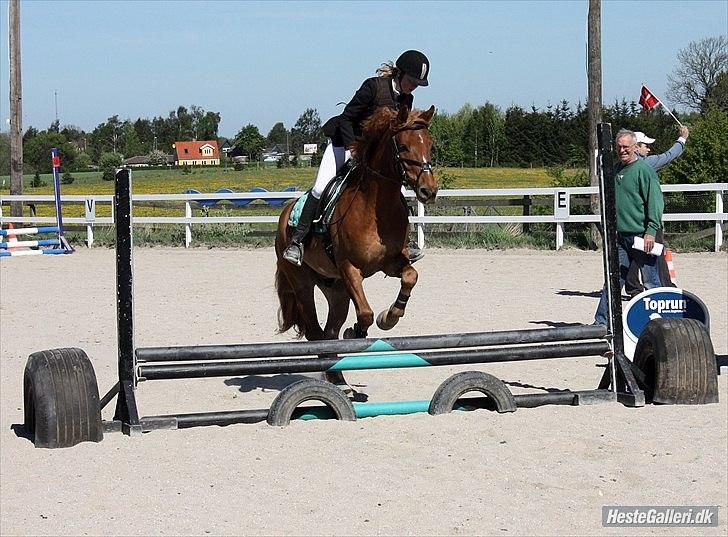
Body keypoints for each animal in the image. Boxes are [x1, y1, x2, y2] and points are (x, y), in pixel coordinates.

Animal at [276, 103, 438, 356]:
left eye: (429, 144)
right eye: (403, 146)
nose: (428, 190)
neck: (376, 210)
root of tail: (285, 213)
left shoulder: (390, 262)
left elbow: (411, 276)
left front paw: (389, 317)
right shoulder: (349, 268)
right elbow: (365, 313)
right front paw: (357, 332)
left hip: (335, 287)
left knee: (329, 333)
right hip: (301, 283)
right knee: (315, 333)